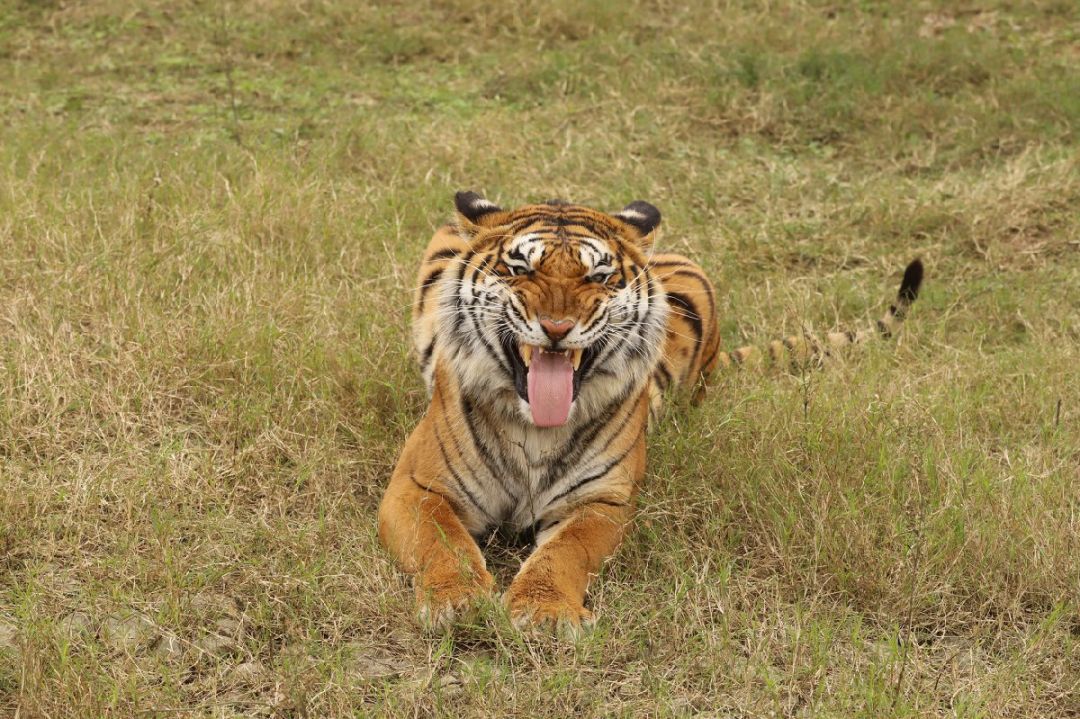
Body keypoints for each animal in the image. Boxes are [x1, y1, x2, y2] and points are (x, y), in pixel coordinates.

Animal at [378, 188, 920, 626]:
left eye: (598, 275)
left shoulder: (601, 501)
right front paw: (457, 601)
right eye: (520, 268)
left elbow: (565, 553)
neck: (536, 428)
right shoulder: (417, 486)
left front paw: (545, 612)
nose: (556, 327)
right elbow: (443, 543)